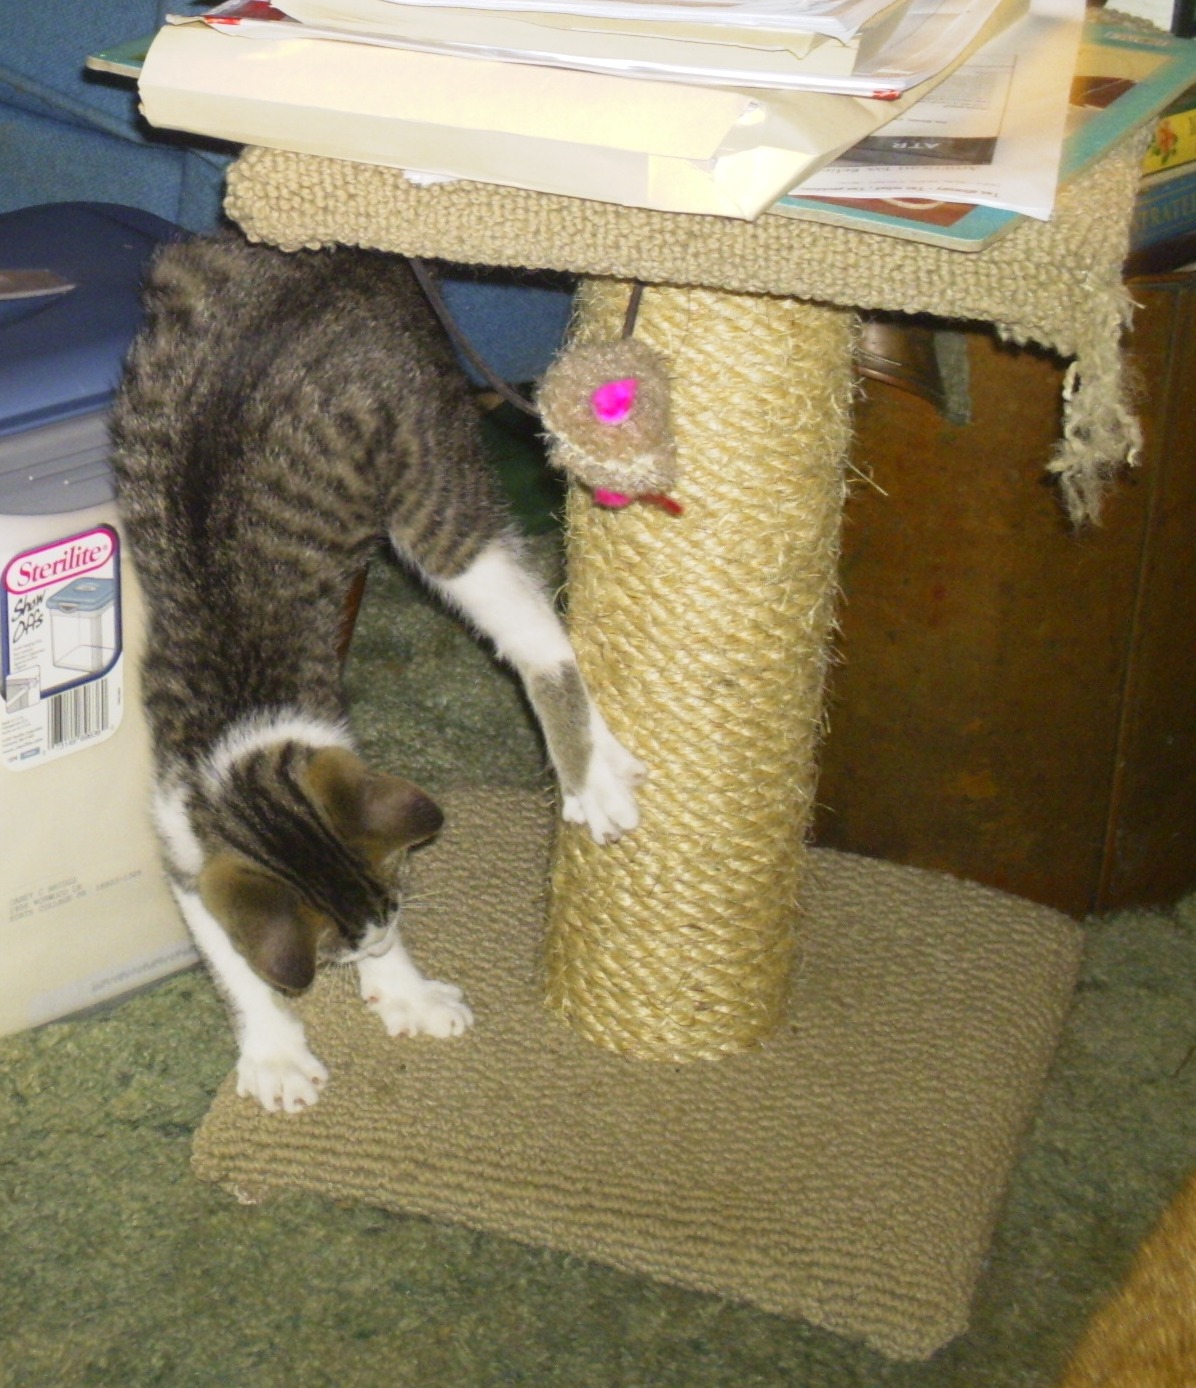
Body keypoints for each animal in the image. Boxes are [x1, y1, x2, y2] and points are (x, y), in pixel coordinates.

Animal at [110, 232, 644, 1113]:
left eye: (393, 907)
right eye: (335, 949)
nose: (382, 940)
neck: (246, 742)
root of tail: (347, 259)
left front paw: (407, 991)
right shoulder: (182, 838)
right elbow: (229, 954)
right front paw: (277, 1050)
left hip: (432, 467)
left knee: (536, 635)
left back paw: (593, 771)